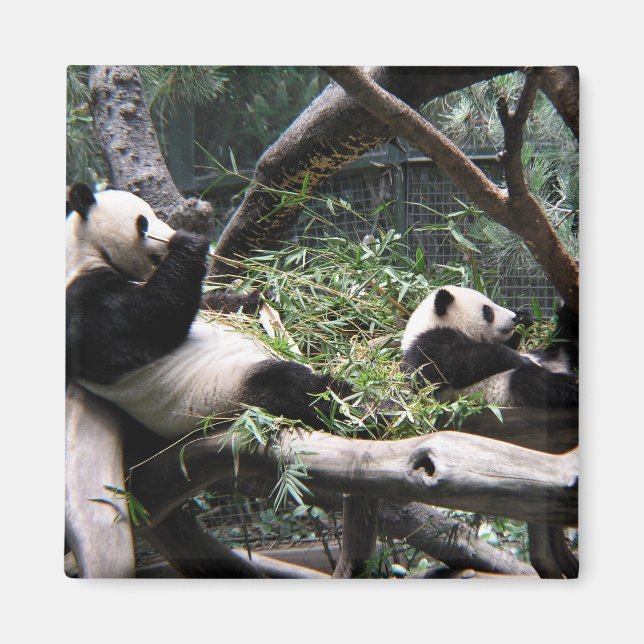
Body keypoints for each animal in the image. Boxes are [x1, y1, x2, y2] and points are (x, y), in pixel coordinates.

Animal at [66, 183, 352, 440]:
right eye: (143, 223)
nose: (170, 236)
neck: (86, 254)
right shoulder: (83, 301)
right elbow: (147, 321)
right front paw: (190, 242)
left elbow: (211, 305)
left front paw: (262, 298)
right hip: (229, 390)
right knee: (298, 388)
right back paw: (358, 405)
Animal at [400, 285, 578, 407]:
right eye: (488, 311)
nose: (513, 318)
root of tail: (560, 364)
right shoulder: (426, 344)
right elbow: (446, 367)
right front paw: (520, 359)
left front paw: (524, 318)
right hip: (505, 386)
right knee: (538, 383)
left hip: (554, 351)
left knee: (566, 340)